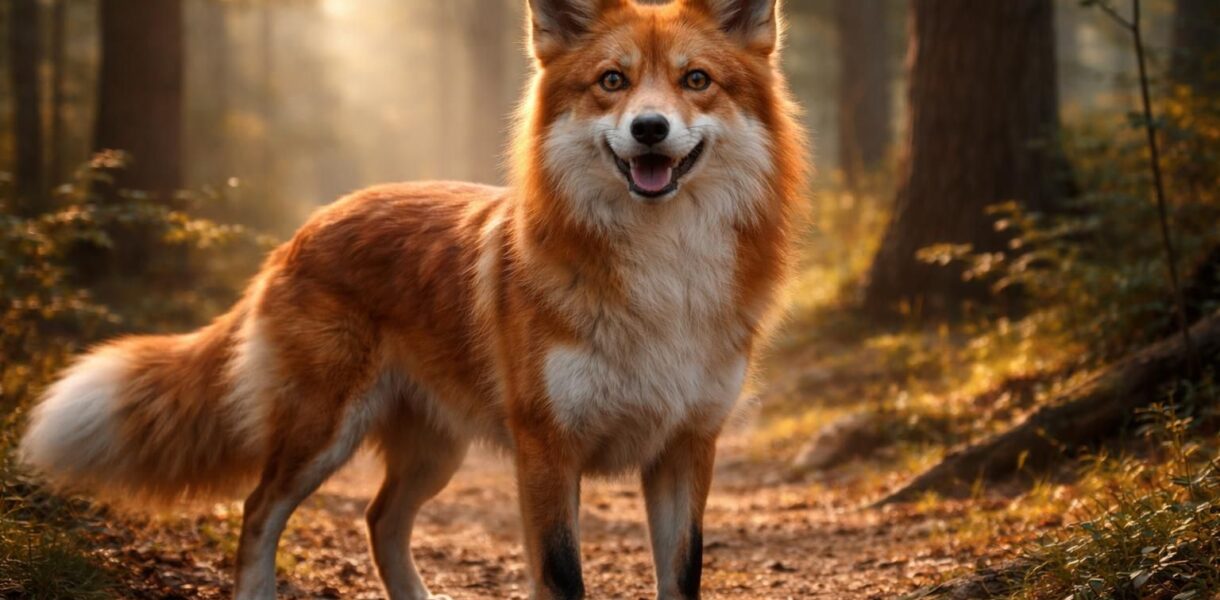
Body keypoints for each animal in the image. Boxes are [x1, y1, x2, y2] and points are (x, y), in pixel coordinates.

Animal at [19, 0, 806, 598]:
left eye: (695, 80)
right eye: (612, 81)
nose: (649, 129)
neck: (661, 283)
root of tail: (303, 231)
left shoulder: (685, 447)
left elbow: (683, 578)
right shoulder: (547, 451)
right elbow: (562, 578)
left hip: (435, 451)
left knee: (380, 520)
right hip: (321, 434)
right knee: (258, 511)